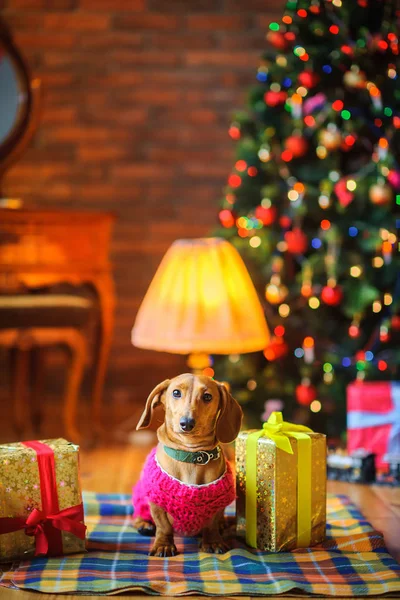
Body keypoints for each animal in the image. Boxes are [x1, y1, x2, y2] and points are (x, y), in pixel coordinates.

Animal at [133, 372, 242, 556]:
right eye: (176, 393)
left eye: (207, 396)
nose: (187, 423)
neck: (191, 455)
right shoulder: (157, 502)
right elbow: (163, 526)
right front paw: (163, 545)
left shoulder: (216, 504)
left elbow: (211, 525)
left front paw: (213, 542)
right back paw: (144, 524)